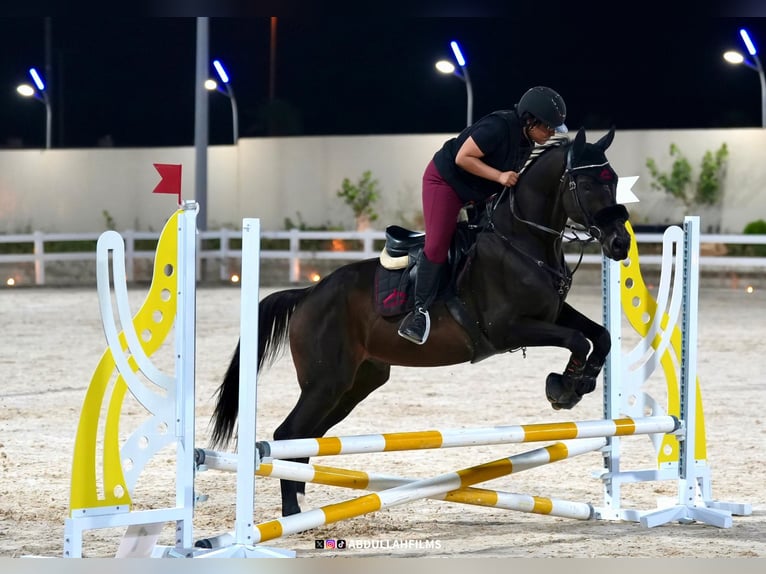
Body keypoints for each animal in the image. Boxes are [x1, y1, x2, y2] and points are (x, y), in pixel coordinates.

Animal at [209, 126, 631, 517]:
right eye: (588, 184)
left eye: (614, 181)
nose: (620, 244)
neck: (523, 241)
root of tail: (308, 294)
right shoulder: (508, 328)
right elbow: (577, 339)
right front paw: (563, 388)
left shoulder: (552, 312)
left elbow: (600, 335)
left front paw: (584, 381)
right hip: (326, 382)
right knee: (289, 434)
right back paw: (292, 514)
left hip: (355, 382)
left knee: (304, 440)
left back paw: (298, 508)